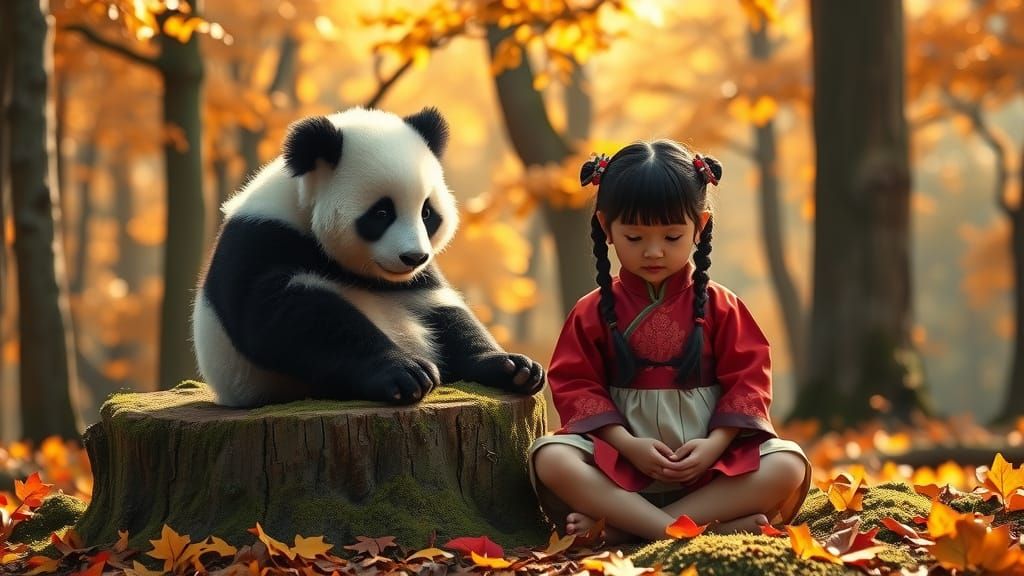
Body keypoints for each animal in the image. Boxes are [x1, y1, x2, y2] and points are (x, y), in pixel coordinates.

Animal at [191, 106, 545, 407]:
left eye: (427, 212)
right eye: (382, 212)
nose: (414, 257)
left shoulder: (419, 280)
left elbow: (444, 308)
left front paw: (514, 367)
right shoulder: (260, 241)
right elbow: (287, 314)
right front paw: (407, 373)